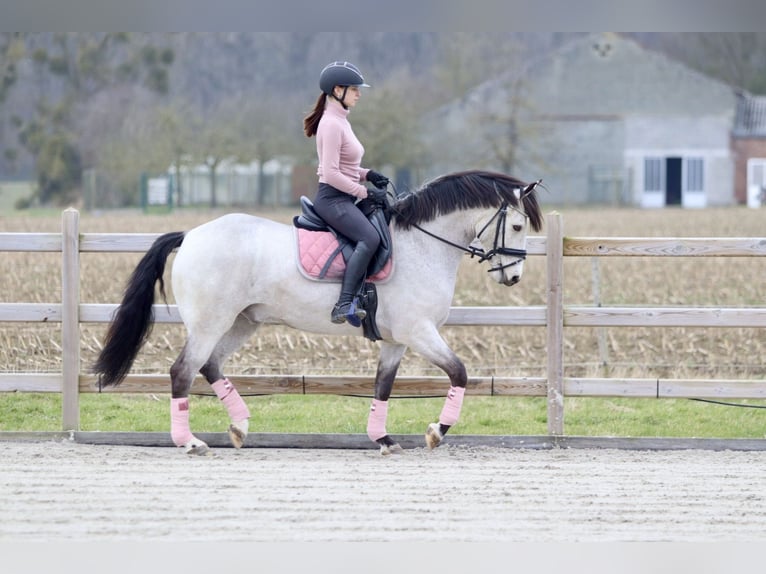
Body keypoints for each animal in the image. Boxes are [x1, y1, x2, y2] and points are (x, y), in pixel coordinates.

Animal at [91, 169, 544, 456]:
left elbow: (383, 386)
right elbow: (460, 373)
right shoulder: (419, 332)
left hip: (241, 321)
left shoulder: (397, 340)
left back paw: (239, 426)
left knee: (210, 366)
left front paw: (383, 439)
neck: (422, 244)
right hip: (210, 322)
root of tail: (190, 236)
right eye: (518, 227)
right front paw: (435, 432)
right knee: (183, 372)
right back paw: (190, 442)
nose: (514, 277)